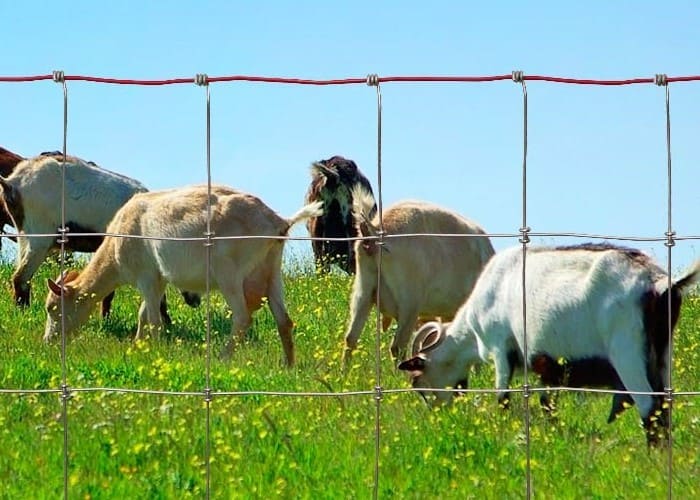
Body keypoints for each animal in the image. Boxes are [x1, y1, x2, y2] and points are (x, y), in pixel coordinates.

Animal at [41, 184, 320, 368]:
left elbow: (152, 318)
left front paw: (153, 351)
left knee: (242, 317)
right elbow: (144, 313)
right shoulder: (158, 278)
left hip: (228, 272)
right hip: (272, 271)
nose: (48, 341)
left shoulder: (146, 276)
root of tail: (279, 222)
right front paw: (137, 346)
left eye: (52, 308)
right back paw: (288, 365)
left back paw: (222, 357)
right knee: (284, 321)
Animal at [400, 244, 700, 444]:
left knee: (650, 409)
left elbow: (502, 398)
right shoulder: (548, 366)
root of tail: (660, 284)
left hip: (628, 353)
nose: (439, 418)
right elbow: (547, 403)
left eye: (419, 382)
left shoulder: (500, 346)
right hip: (662, 356)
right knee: (664, 408)